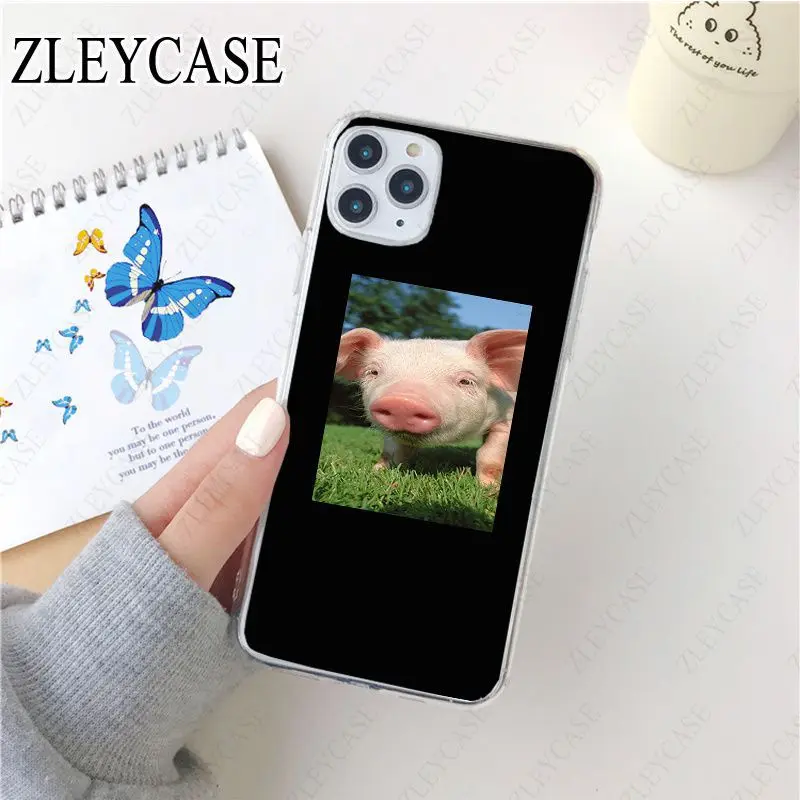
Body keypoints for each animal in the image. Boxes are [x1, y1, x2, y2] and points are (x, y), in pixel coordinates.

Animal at [334, 327, 527, 486]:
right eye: (373, 372)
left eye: (465, 381)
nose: (403, 402)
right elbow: (392, 451)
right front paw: (376, 471)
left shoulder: (505, 419)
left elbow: (489, 456)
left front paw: (488, 489)